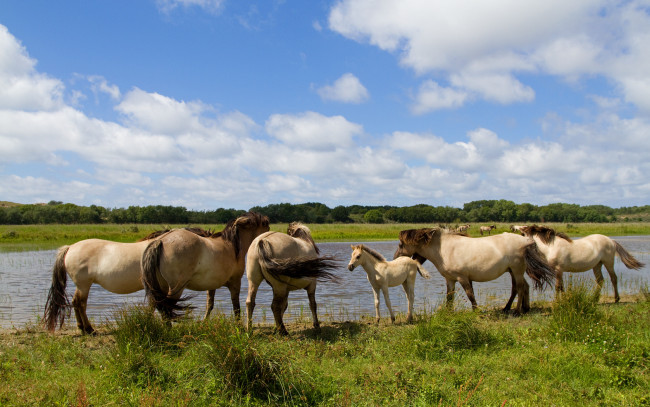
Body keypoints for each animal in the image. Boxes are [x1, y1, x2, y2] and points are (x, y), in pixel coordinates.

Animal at [139, 212, 268, 320]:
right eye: (265, 225)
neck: (232, 246)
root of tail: (160, 241)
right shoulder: (235, 282)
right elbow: (236, 307)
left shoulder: (212, 285)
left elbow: (209, 305)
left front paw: (204, 322)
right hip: (175, 288)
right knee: (166, 309)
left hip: (160, 287)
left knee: (154, 307)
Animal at [390, 228, 552, 314]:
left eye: (400, 244)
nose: (394, 258)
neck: (443, 249)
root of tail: (526, 241)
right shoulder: (450, 279)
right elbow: (450, 297)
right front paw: (448, 312)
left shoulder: (462, 278)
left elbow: (470, 295)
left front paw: (475, 311)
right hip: (512, 271)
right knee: (520, 287)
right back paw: (515, 308)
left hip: (517, 270)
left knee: (519, 287)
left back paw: (517, 311)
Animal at [516, 226, 644, 302]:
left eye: (522, 234)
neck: (552, 247)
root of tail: (611, 240)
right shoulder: (560, 271)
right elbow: (562, 286)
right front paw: (565, 299)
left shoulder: (558, 269)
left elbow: (558, 287)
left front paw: (557, 301)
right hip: (597, 265)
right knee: (600, 280)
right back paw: (594, 299)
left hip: (608, 263)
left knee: (614, 278)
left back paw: (616, 299)